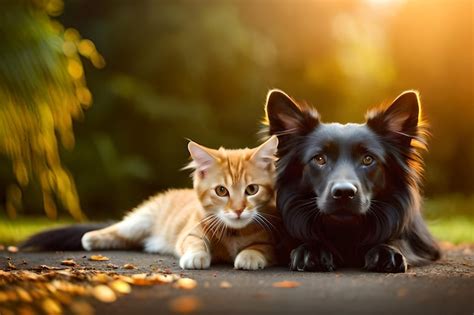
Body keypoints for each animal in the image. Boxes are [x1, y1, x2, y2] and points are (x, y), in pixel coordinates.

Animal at [80, 137, 280, 270]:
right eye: (221, 191)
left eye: (252, 189)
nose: (238, 210)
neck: (234, 232)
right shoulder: (190, 230)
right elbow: (194, 240)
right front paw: (196, 256)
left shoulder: (274, 241)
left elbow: (261, 247)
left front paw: (249, 255)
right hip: (141, 220)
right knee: (121, 229)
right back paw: (91, 237)